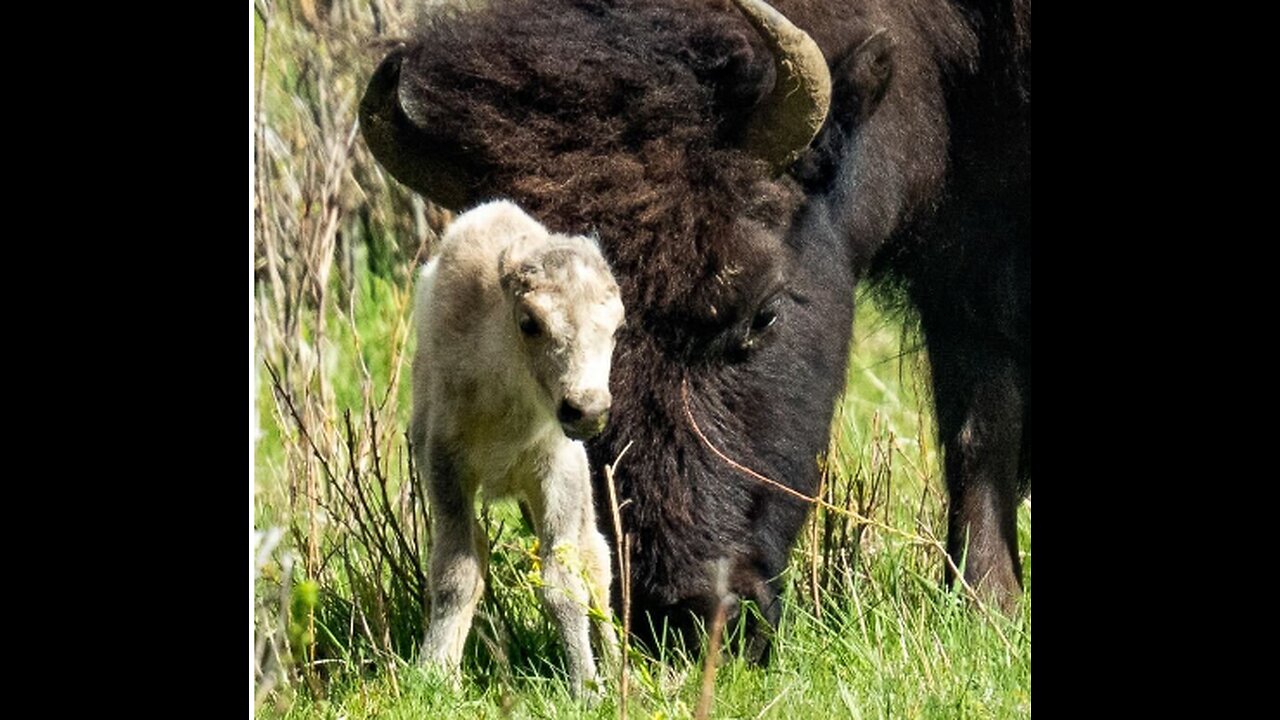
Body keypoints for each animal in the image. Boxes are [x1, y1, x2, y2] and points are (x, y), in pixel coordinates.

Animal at [409, 198, 624, 691]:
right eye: (531, 322)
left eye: (617, 325)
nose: (588, 410)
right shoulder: (445, 465)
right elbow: (457, 570)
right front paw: (435, 673)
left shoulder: (557, 469)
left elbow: (563, 580)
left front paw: (587, 687)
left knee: (596, 561)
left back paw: (624, 675)